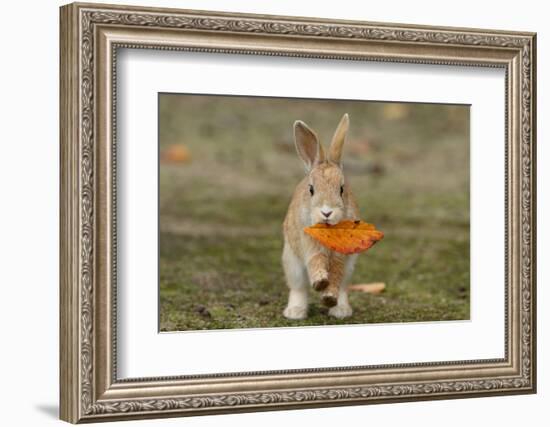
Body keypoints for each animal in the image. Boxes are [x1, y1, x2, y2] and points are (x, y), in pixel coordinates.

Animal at [282, 114, 360, 320]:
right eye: (311, 189)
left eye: (342, 189)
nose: (326, 212)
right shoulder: (309, 245)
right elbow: (315, 261)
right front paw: (319, 282)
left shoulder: (342, 256)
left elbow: (336, 276)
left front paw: (329, 297)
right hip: (292, 262)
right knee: (298, 288)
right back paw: (295, 312)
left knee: (343, 287)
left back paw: (341, 311)